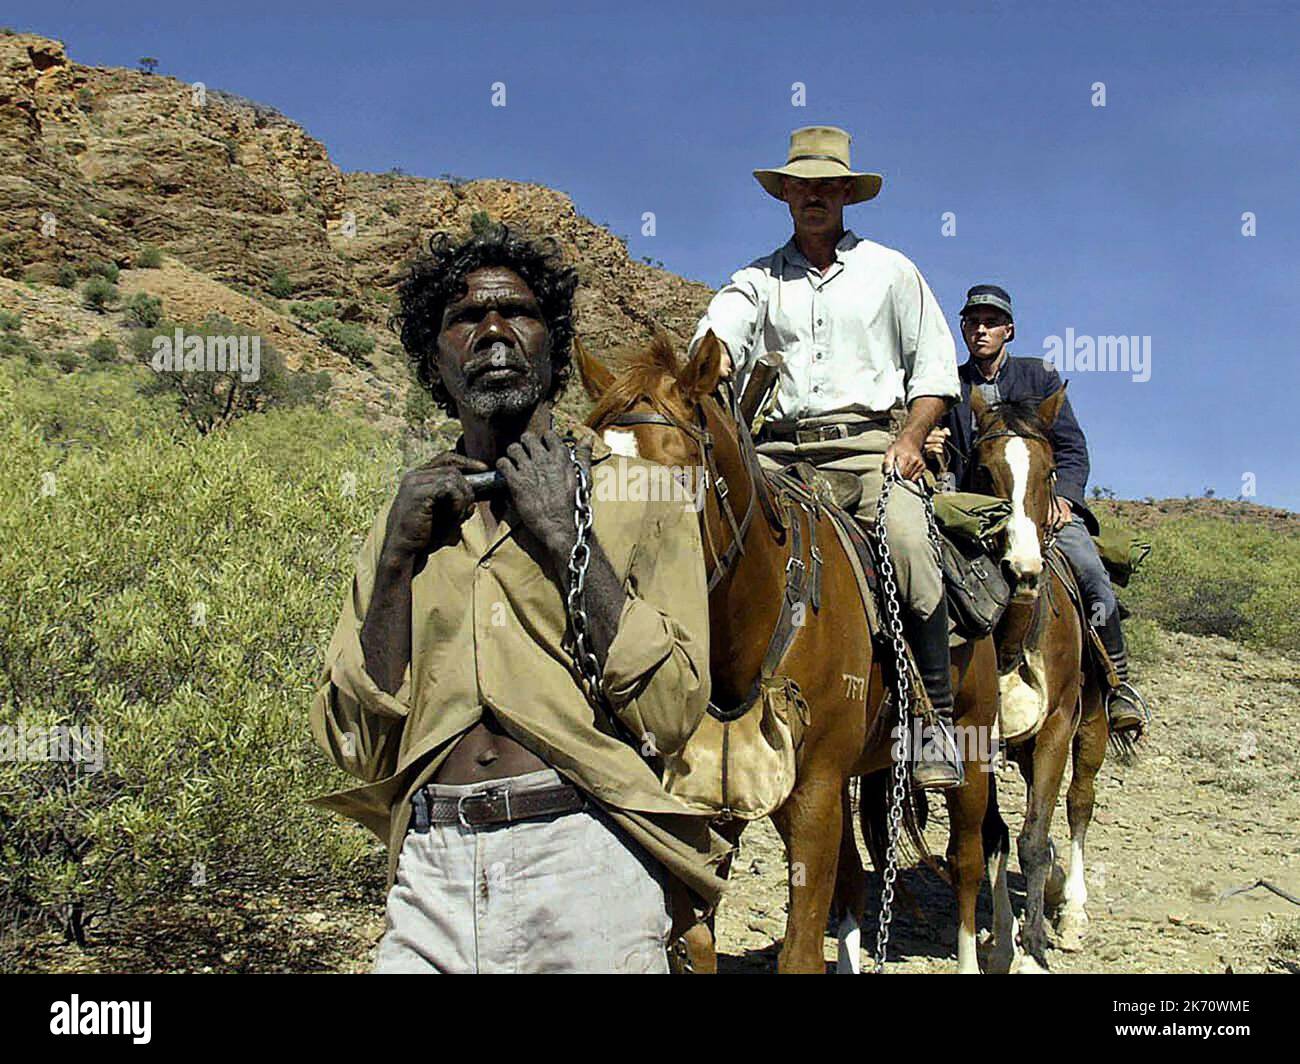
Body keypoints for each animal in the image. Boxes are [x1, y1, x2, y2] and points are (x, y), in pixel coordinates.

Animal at [582, 329, 1003, 967]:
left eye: (678, 477)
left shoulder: (815, 794)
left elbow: (800, 952)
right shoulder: (713, 796)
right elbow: (695, 938)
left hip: (972, 754)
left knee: (967, 862)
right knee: (855, 881)